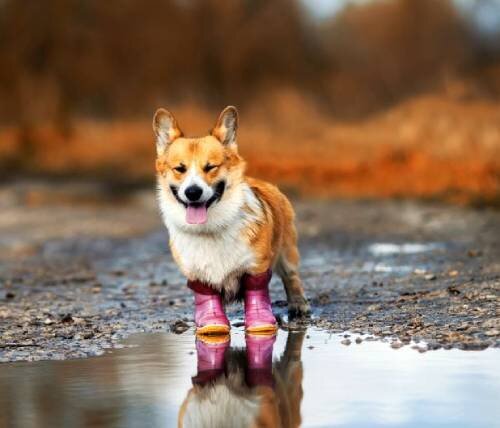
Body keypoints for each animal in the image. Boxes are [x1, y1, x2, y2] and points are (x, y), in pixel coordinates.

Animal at [153, 107, 308, 334]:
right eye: (180, 169)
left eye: (210, 167)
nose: (193, 192)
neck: (210, 229)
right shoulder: (199, 277)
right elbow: (208, 299)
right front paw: (212, 323)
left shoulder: (256, 268)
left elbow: (256, 291)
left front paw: (261, 323)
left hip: (287, 251)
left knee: (292, 277)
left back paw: (299, 306)